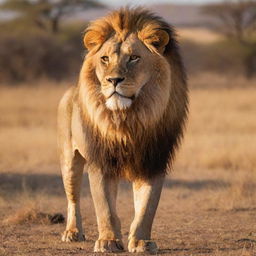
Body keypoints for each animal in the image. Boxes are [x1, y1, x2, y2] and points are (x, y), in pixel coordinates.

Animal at [57, 7, 188, 253]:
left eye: (134, 57)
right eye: (105, 58)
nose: (114, 80)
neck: (129, 119)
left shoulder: (153, 160)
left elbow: (146, 208)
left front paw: (142, 242)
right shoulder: (101, 162)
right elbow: (104, 207)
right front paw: (108, 242)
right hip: (69, 160)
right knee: (73, 198)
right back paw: (72, 232)